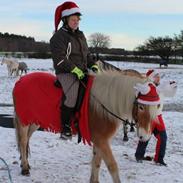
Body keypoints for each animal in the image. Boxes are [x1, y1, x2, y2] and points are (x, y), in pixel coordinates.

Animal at [12, 71, 159, 183]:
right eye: (141, 106)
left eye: (156, 106)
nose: (145, 136)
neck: (104, 104)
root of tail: (20, 81)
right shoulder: (102, 141)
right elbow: (112, 165)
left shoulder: (100, 141)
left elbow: (96, 162)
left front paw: (94, 181)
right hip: (24, 121)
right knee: (23, 141)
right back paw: (24, 168)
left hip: (33, 122)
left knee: (26, 140)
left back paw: (25, 164)